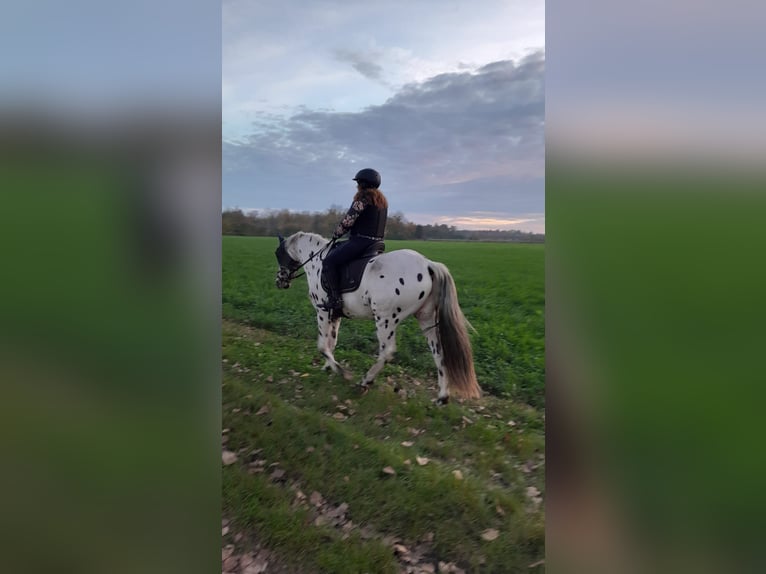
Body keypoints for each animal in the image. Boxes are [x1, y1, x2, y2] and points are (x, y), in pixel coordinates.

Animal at [274, 231, 480, 404]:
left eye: (278, 254)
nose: (279, 281)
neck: (317, 261)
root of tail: (428, 264)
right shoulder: (335, 315)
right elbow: (332, 342)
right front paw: (328, 368)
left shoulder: (322, 312)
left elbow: (322, 346)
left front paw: (341, 372)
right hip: (426, 318)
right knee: (438, 353)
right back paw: (442, 397)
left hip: (385, 319)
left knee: (387, 352)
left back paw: (365, 381)